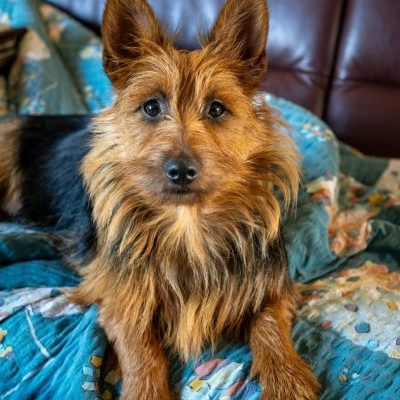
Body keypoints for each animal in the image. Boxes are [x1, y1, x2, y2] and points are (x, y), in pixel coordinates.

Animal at [0, 0, 318, 398]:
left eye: (217, 109)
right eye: (151, 107)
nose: (180, 170)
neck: (188, 223)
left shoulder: (272, 286)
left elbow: (270, 321)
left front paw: (287, 377)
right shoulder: (120, 298)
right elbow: (141, 346)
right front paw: (145, 389)